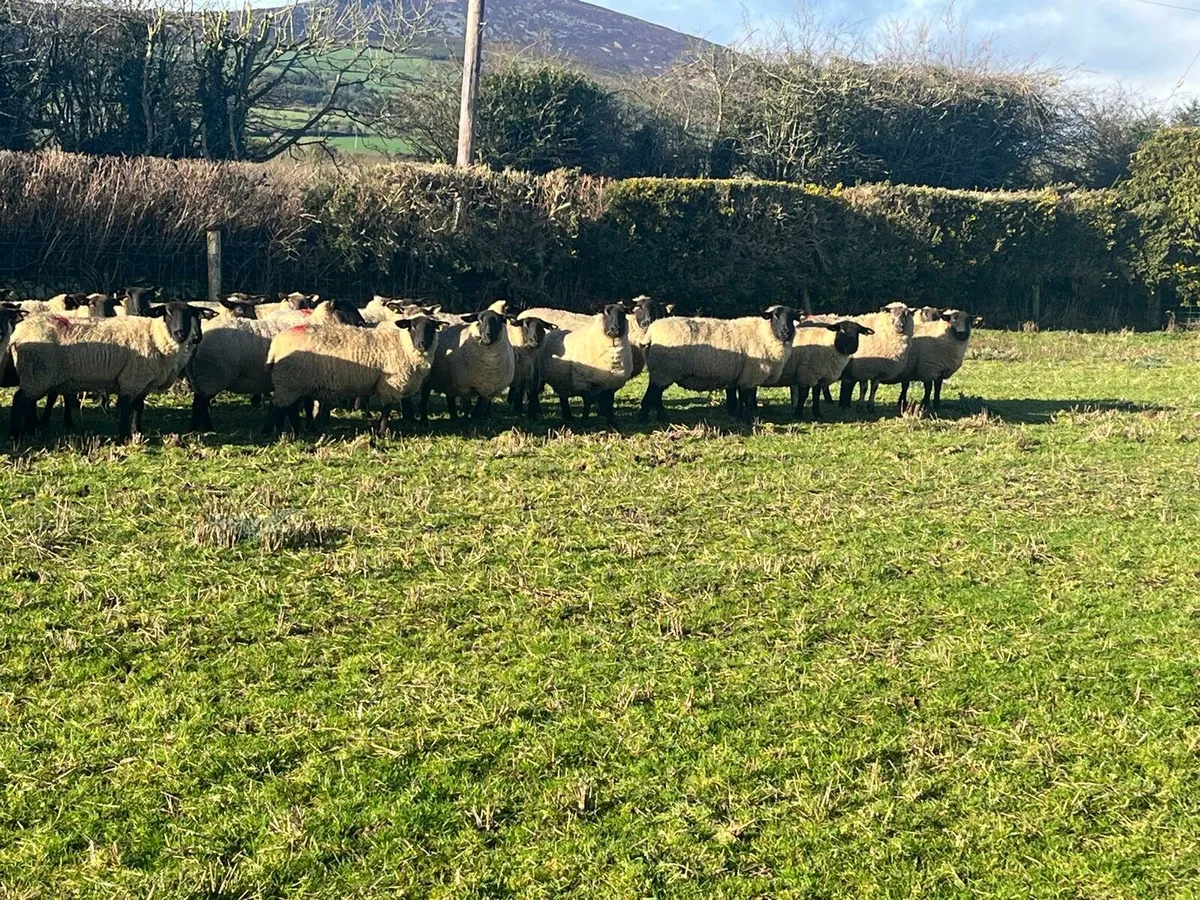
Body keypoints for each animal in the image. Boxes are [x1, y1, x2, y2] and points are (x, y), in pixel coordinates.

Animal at [8, 302, 217, 441]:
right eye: (167, 313)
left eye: (191, 314)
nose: (180, 334)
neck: (154, 335)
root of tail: (18, 333)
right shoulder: (130, 380)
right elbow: (125, 408)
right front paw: (123, 436)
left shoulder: (142, 382)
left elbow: (138, 408)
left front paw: (137, 432)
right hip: (37, 375)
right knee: (19, 401)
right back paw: (16, 435)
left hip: (35, 376)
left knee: (28, 403)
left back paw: (32, 430)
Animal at [266, 314, 443, 436]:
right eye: (412, 326)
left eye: (432, 328)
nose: (422, 344)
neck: (403, 345)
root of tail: (275, 345)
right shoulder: (391, 385)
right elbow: (386, 410)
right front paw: (382, 432)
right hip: (289, 382)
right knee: (277, 406)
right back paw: (270, 432)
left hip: (294, 383)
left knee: (290, 408)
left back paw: (296, 431)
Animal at [639, 305, 799, 424]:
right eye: (775, 316)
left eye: (792, 317)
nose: (786, 332)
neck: (764, 333)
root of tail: (651, 331)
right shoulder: (750, 376)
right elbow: (747, 399)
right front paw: (747, 419)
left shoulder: (740, 376)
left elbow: (739, 399)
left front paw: (738, 415)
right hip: (664, 370)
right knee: (654, 395)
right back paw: (651, 418)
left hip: (659, 371)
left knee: (655, 395)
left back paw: (655, 417)